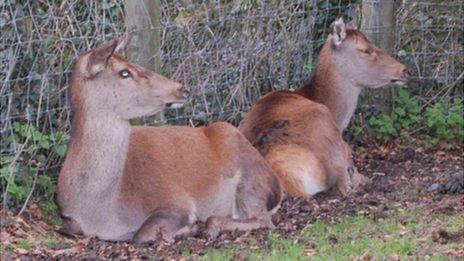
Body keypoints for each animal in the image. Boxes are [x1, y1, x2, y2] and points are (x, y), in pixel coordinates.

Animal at [56, 35, 280, 242]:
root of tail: (278, 189)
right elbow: (69, 228)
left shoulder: (176, 202)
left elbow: (141, 234)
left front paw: (188, 228)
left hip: (249, 177)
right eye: (124, 72)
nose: (182, 89)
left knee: (262, 220)